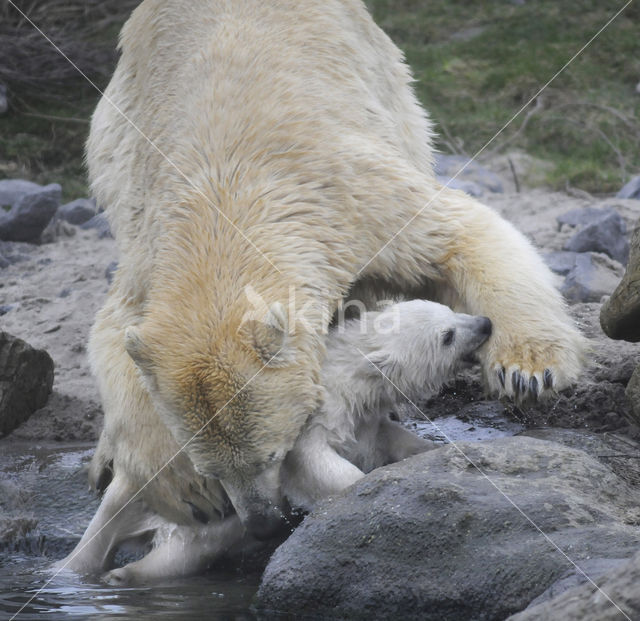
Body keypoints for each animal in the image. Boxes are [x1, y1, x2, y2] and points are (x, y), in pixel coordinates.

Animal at [82, 0, 584, 540]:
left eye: (274, 454)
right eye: (212, 469)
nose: (262, 523)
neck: (224, 200)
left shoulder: (347, 197)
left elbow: (462, 234)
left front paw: (528, 370)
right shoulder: (149, 245)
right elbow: (114, 333)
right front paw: (185, 491)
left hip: (383, 78)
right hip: (115, 129)